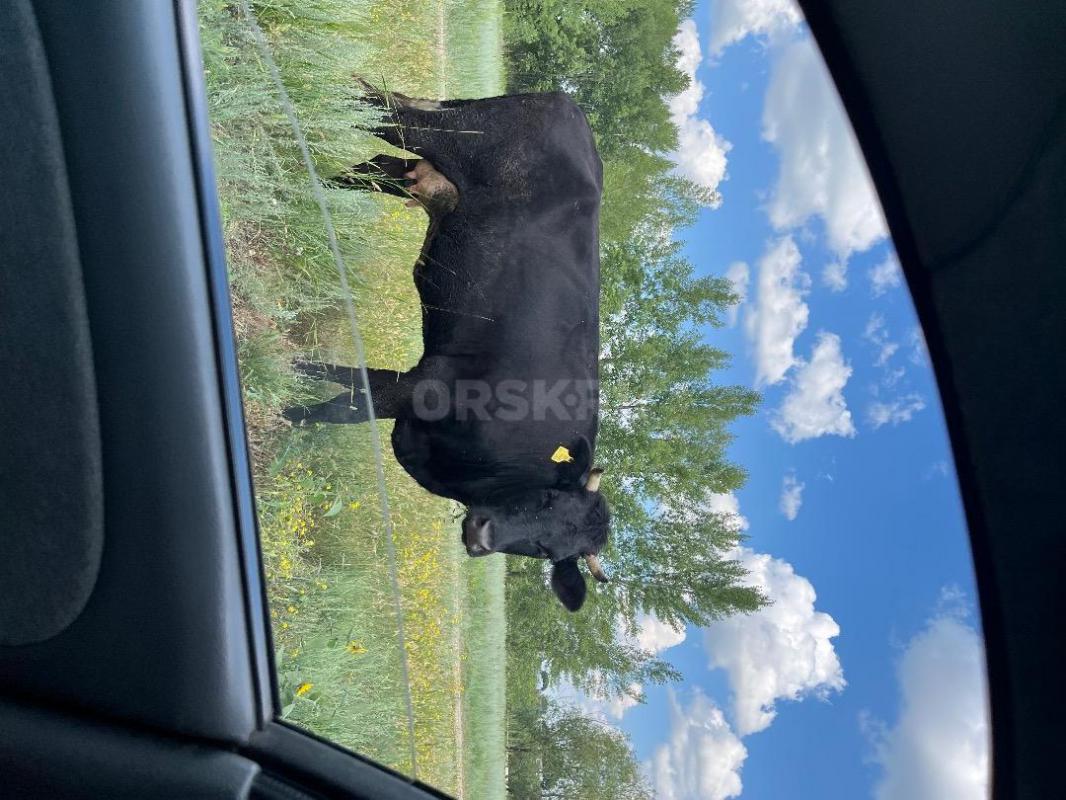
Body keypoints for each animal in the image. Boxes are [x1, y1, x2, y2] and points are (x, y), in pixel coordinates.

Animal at [283, 80, 609, 611]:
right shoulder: (424, 387)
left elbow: (343, 387)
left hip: (423, 171)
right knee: (379, 109)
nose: (482, 535)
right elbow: (338, 407)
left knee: (373, 163)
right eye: (548, 499)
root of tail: (568, 106)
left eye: (549, 549)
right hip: (444, 135)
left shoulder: (416, 390)